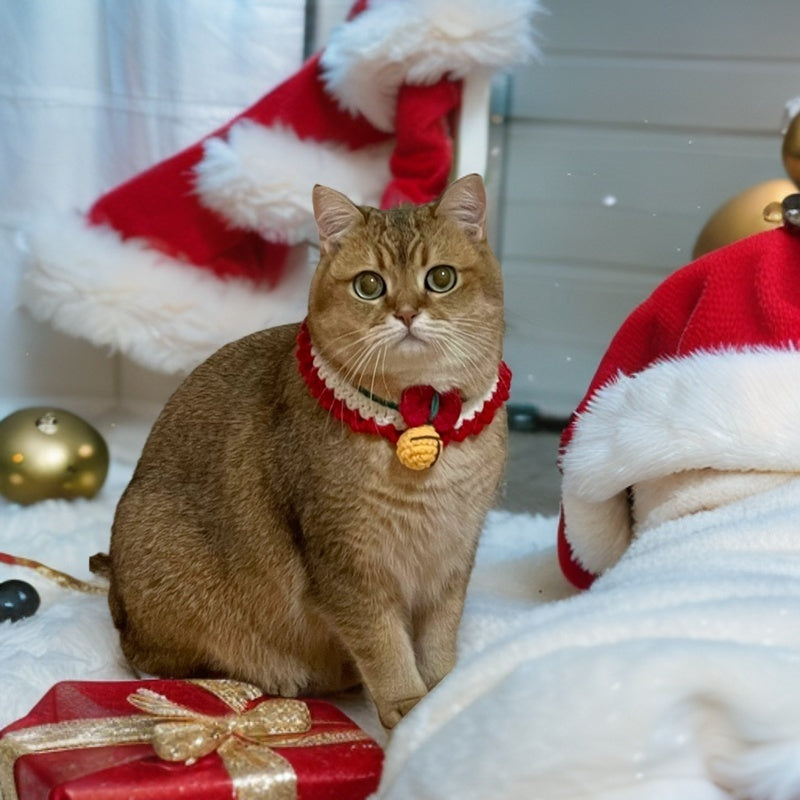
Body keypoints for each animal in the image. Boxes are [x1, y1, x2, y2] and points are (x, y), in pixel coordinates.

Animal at [106, 175, 510, 732]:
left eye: (442, 278)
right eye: (369, 285)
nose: (407, 313)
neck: (421, 420)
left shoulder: (451, 556)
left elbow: (439, 638)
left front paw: (445, 696)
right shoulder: (347, 563)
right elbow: (384, 644)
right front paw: (408, 706)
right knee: (153, 662)